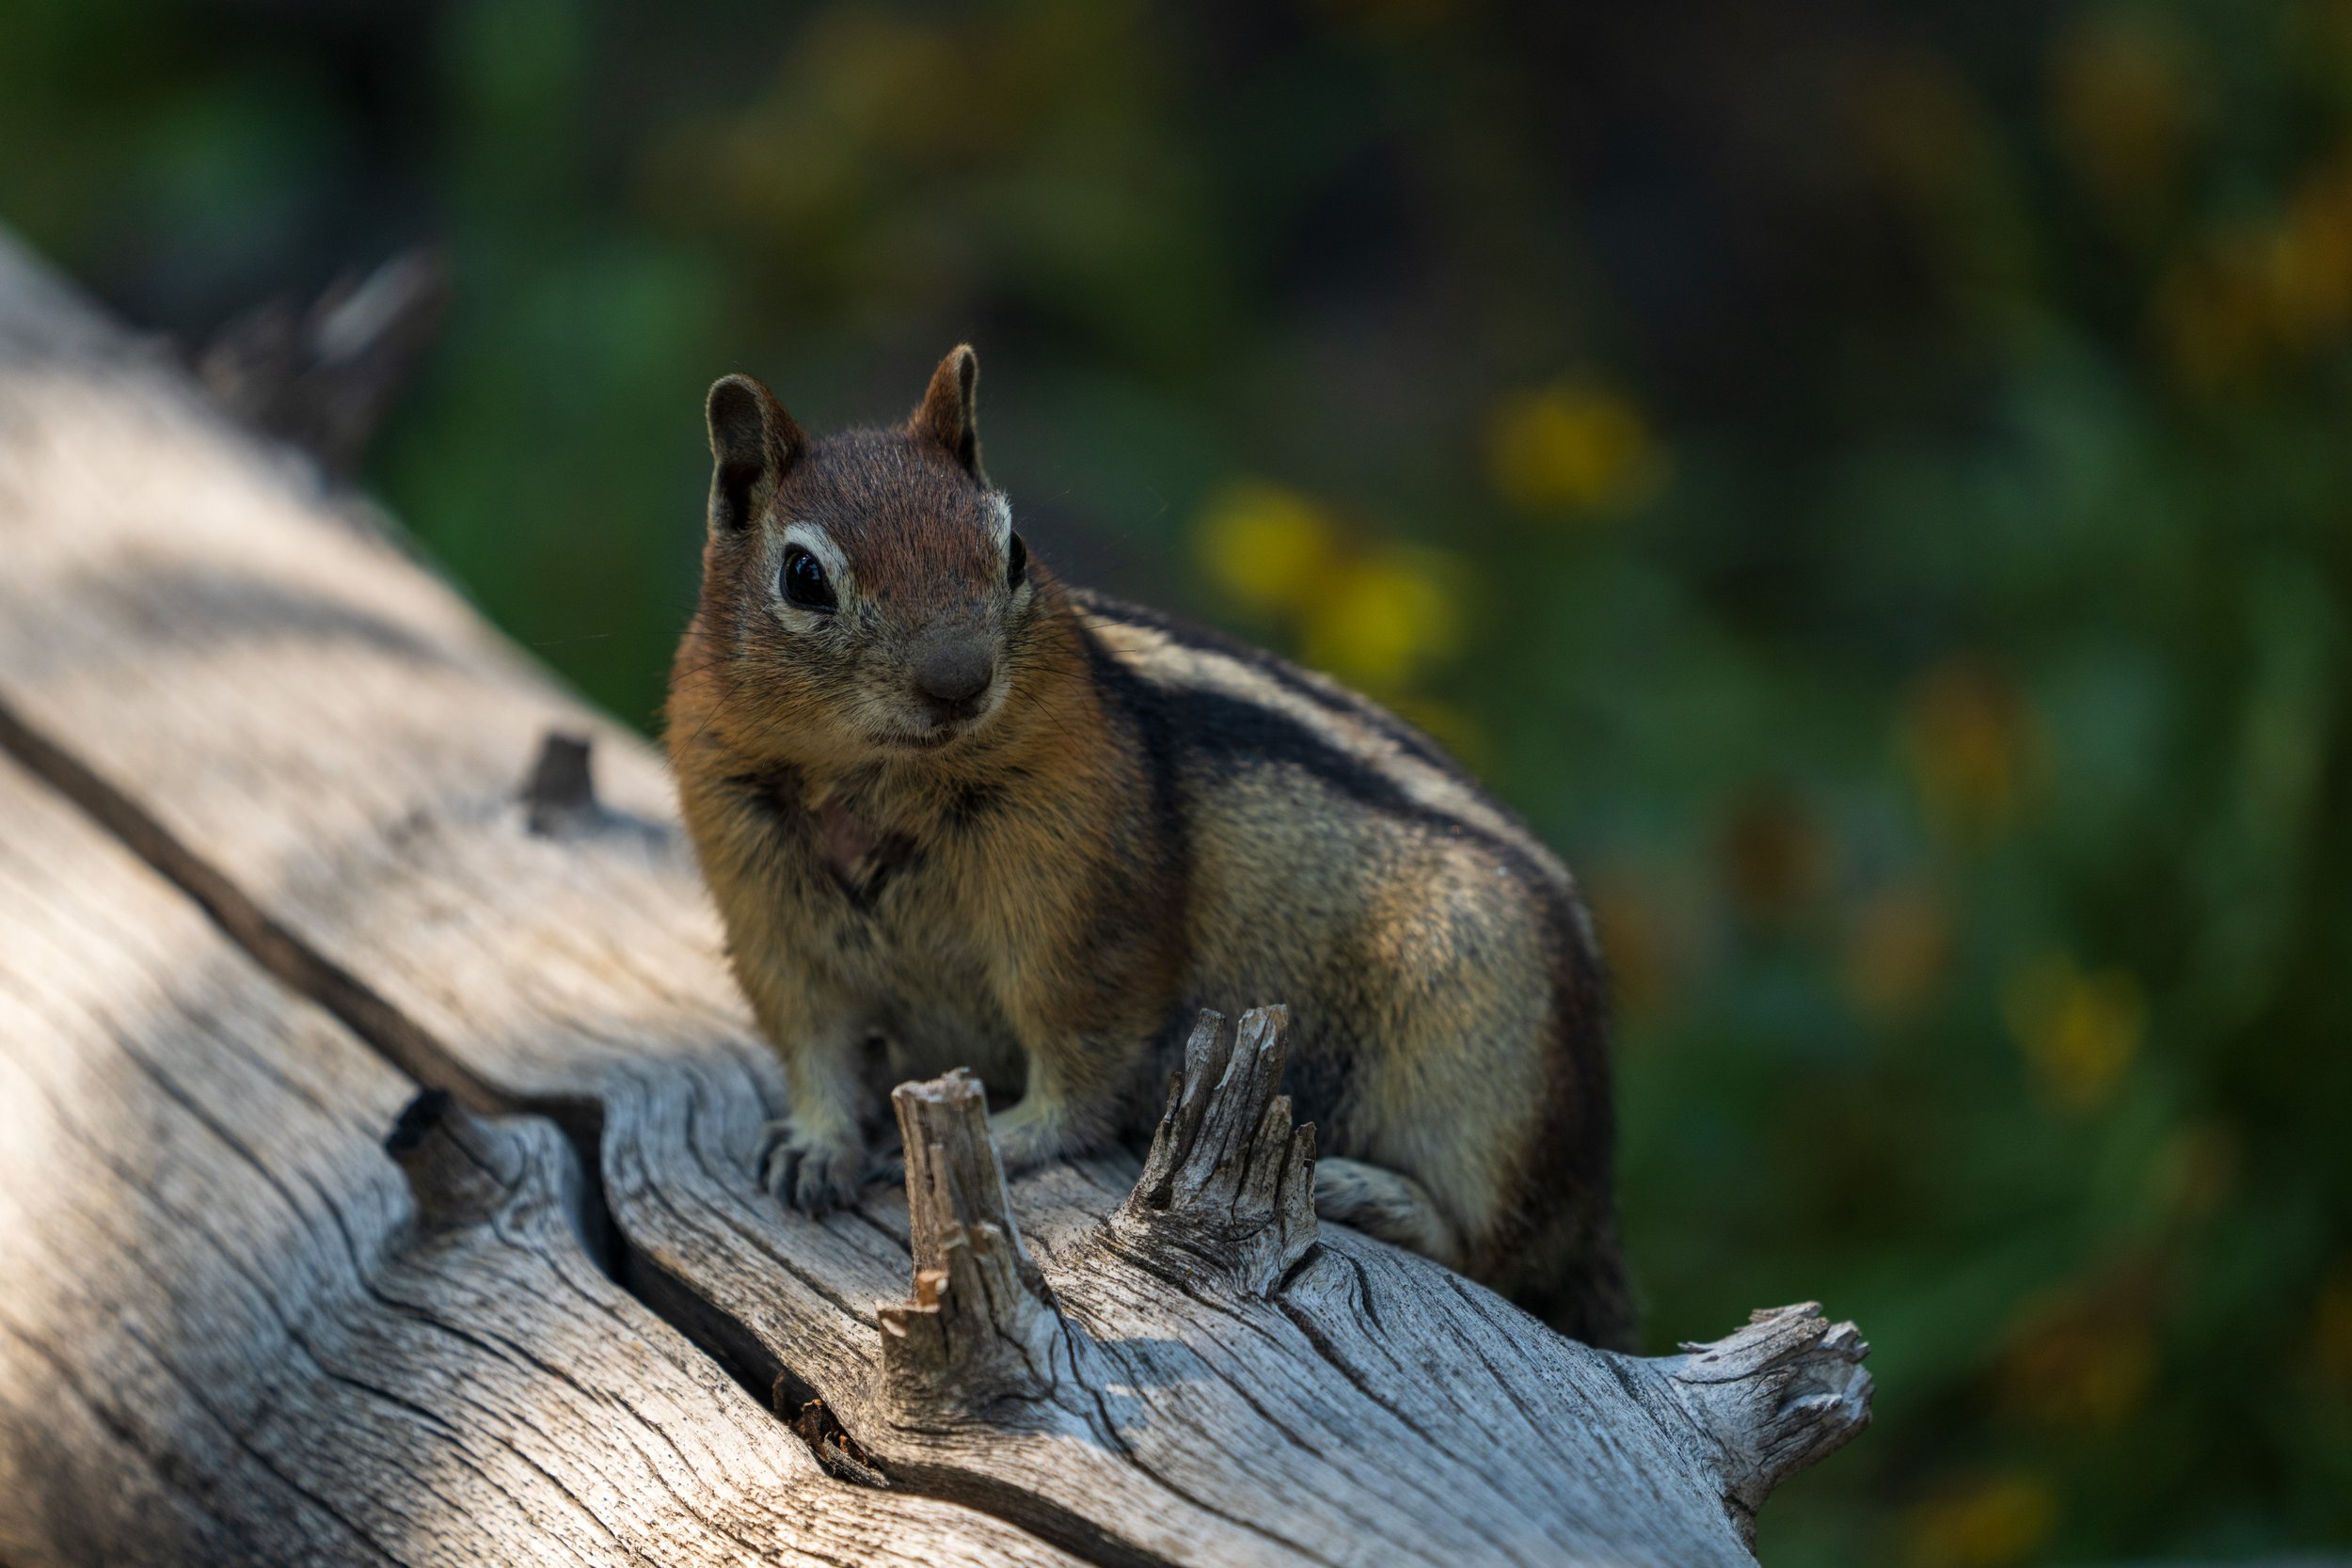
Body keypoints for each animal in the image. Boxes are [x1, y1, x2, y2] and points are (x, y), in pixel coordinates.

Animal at [666, 346, 1633, 1348]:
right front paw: (813, 1145)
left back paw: (1365, 1191)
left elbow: (1080, 1052)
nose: (959, 680)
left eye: (1014, 550)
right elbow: (809, 1033)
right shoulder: (766, 911)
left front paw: (1013, 1133)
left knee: (1497, 1247)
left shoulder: (1084, 908)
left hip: (1486, 1070)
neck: (878, 775)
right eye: (804, 577)